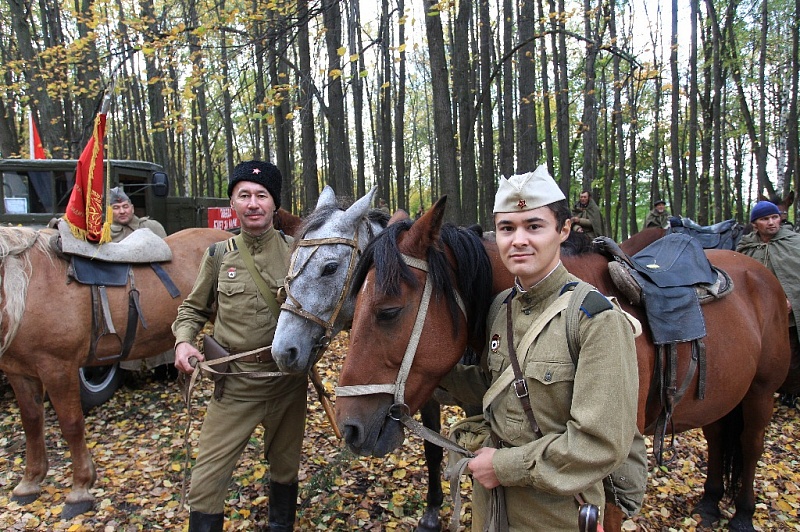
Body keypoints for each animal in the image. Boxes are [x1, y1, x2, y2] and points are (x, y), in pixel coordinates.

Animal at [0, 226, 230, 518]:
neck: (28, 284)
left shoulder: (58, 368)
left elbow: (71, 425)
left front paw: (80, 489)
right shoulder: (20, 372)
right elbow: (31, 422)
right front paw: (29, 483)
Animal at [335, 197, 790, 532]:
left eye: (389, 311)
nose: (349, 428)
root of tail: (761, 273)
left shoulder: (606, 477)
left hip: (761, 392)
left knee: (750, 446)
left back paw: (744, 515)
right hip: (723, 395)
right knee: (718, 439)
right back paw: (711, 504)